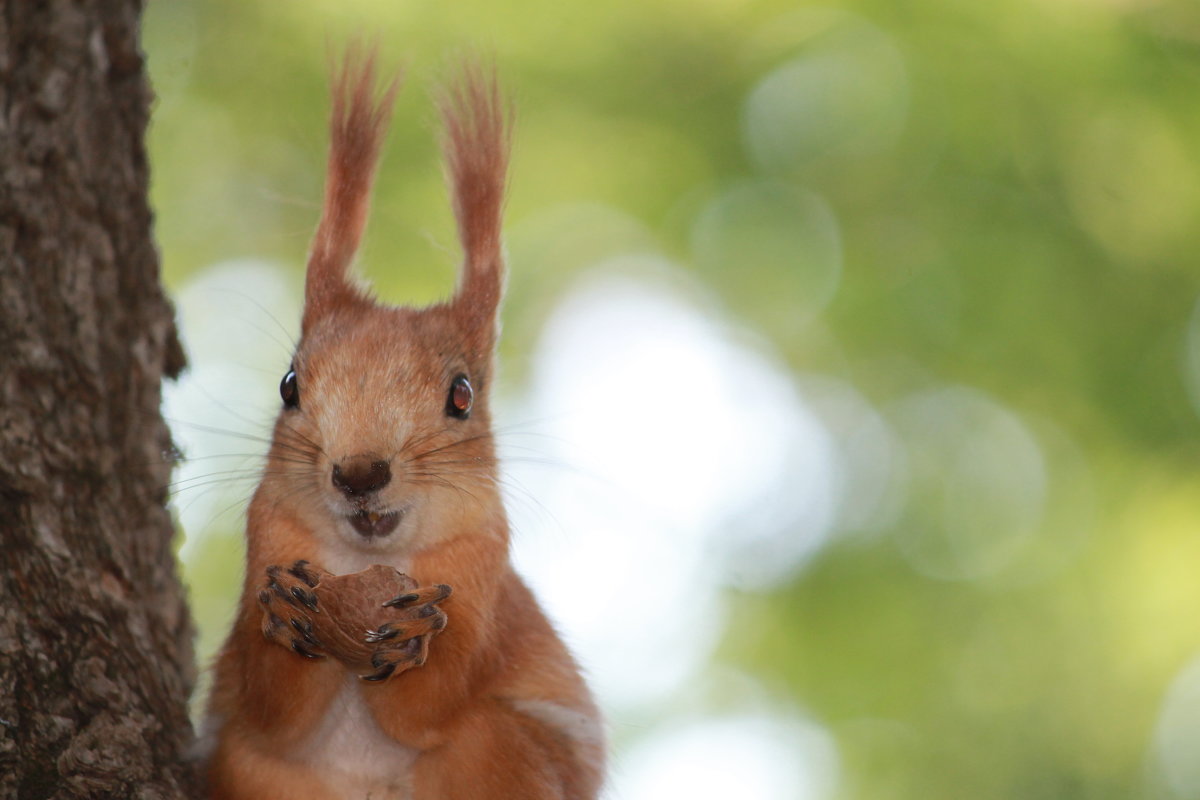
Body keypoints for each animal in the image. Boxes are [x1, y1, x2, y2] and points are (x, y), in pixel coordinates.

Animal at [202, 47, 609, 796]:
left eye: (462, 395)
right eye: (289, 386)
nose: (359, 473)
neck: (365, 561)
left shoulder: (479, 568)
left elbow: (431, 702)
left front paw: (416, 636)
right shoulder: (267, 536)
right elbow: (273, 709)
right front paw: (282, 616)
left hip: (502, 750)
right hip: (248, 770)